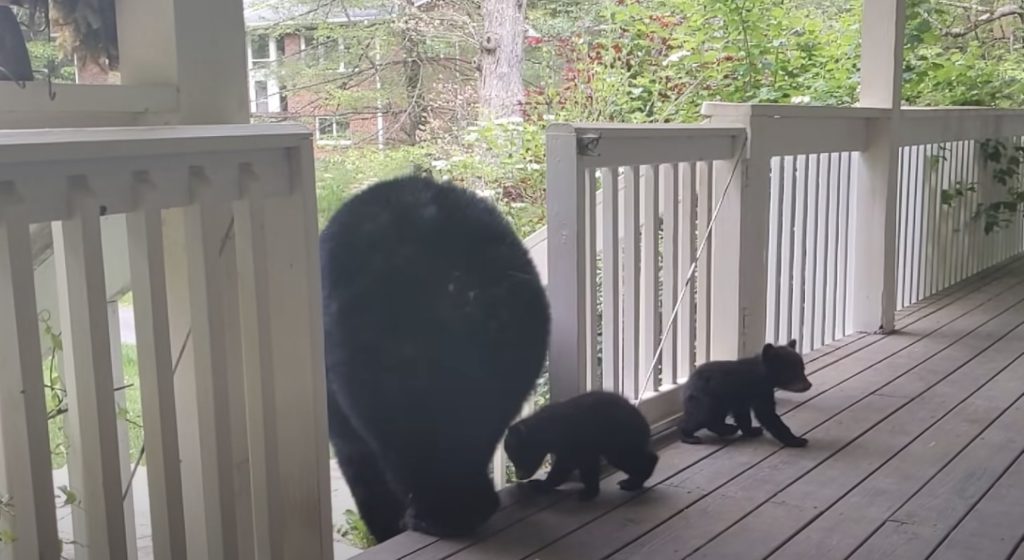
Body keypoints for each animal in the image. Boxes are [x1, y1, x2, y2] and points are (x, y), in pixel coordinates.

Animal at [323, 176, 557, 544]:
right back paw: (468, 506)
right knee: (474, 431)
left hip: (381, 363)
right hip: (511, 346)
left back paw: (437, 515)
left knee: (401, 443)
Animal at [501, 391, 655, 503]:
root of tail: (643, 421)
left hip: (620, 439)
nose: (519, 476)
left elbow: (569, 466)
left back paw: (634, 481)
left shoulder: (576, 441)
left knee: (634, 459)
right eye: (512, 459)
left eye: (519, 457)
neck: (547, 429)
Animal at [675, 341, 811, 446]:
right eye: (792, 372)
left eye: (802, 369)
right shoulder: (759, 391)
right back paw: (688, 436)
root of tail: (687, 385)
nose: (808, 385)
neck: (762, 374)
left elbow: (743, 415)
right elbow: (767, 414)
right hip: (706, 398)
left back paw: (728, 429)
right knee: (701, 416)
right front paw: (796, 440)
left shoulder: (741, 398)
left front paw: (752, 430)